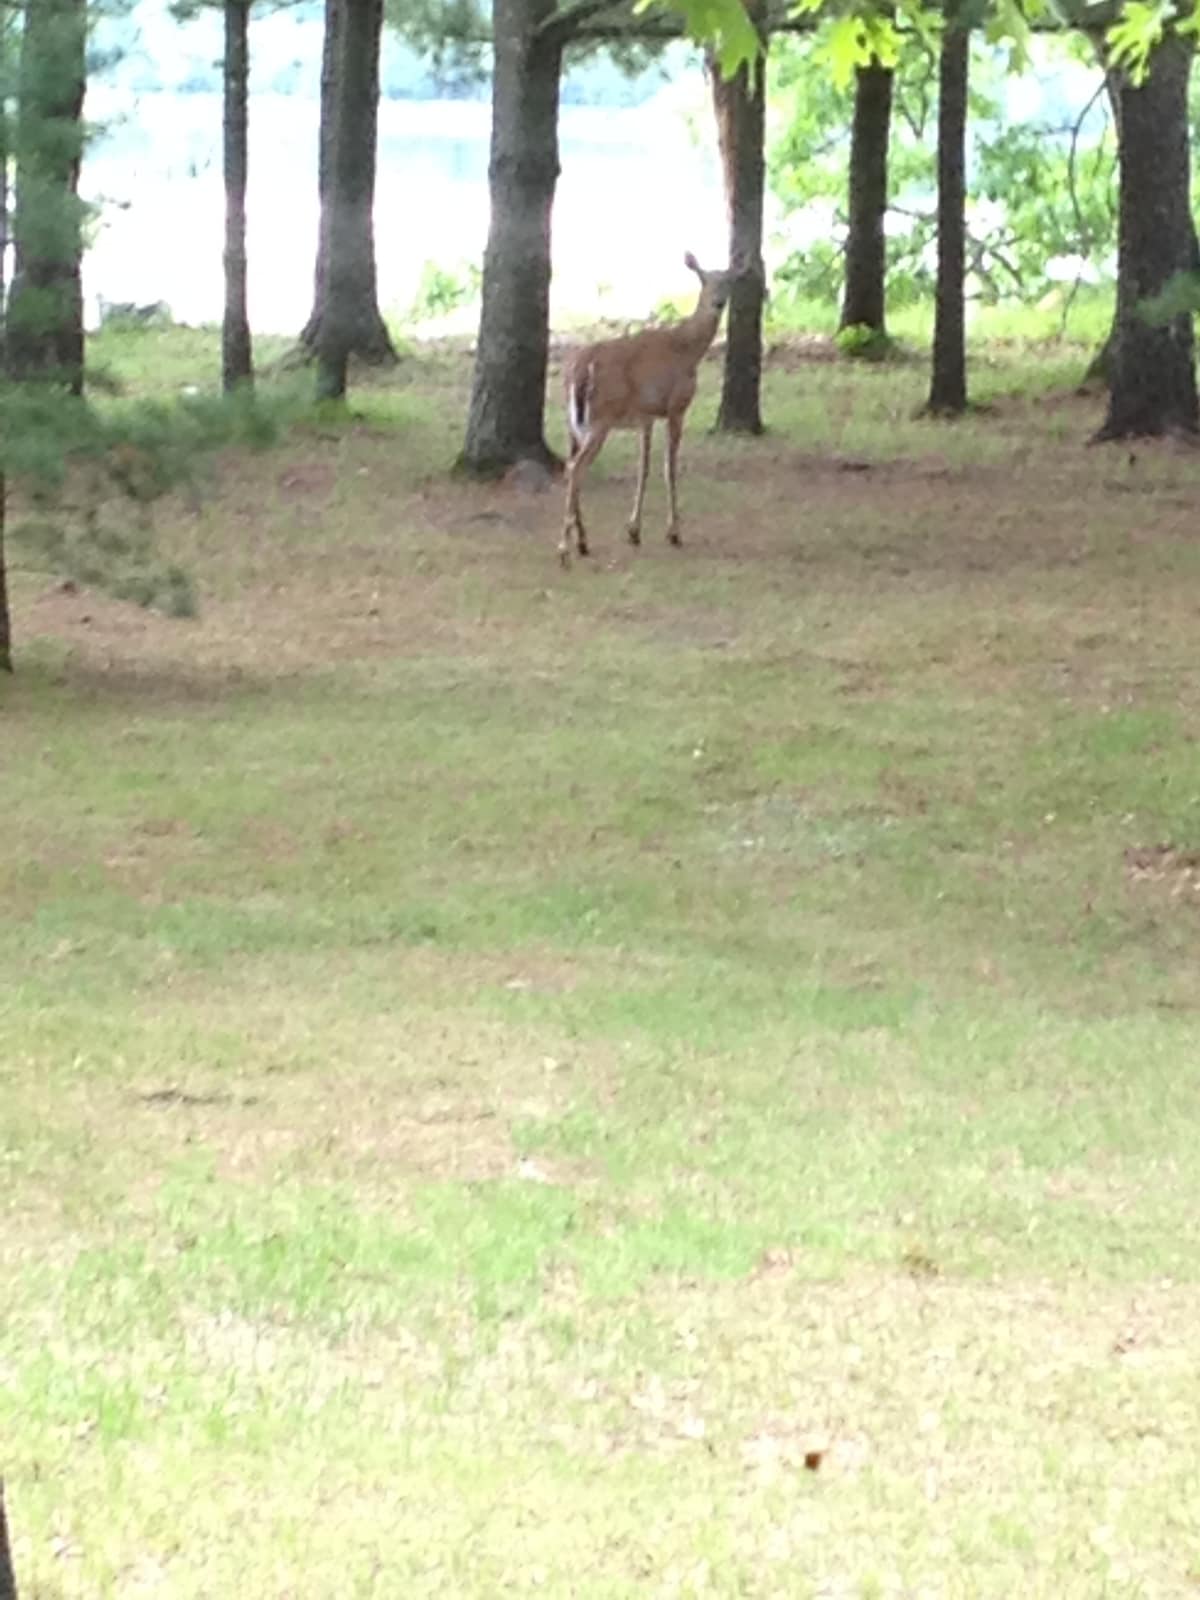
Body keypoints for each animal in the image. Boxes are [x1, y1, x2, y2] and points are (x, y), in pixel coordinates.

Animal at [563, 251, 742, 569]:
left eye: (729, 282)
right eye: (704, 280)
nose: (718, 303)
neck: (687, 350)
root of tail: (581, 366)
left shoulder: (645, 416)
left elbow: (643, 468)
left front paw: (634, 531)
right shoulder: (676, 406)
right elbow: (669, 468)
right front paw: (674, 532)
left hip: (573, 424)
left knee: (569, 465)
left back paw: (582, 541)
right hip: (600, 419)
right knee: (575, 468)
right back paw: (564, 548)